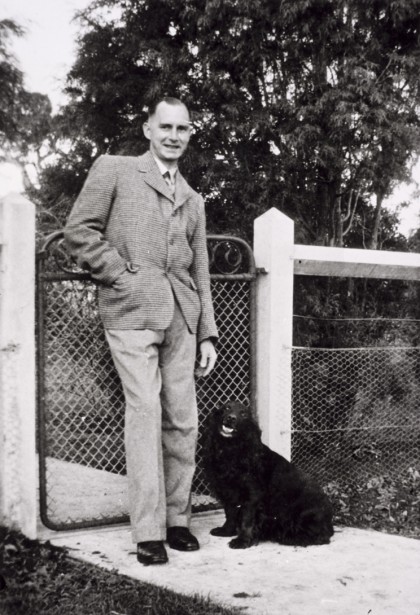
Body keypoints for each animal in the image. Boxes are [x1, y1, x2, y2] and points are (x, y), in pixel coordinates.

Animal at [203, 402, 334, 552]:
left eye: (244, 414)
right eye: (227, 407)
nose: (231, 418)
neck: (231, 450)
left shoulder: (253, 495)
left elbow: (246, 520)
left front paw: (242, 541)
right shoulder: (227, 492)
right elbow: (230, 514)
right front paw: (226, 531)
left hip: (303, 513)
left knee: (321, 537)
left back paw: (287, 537)